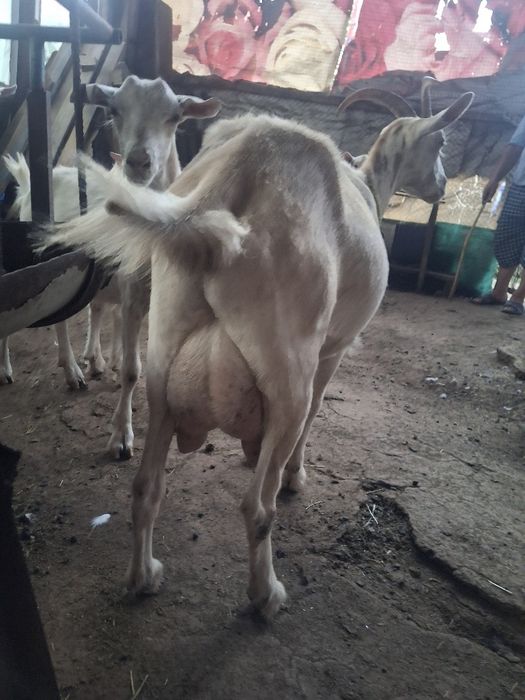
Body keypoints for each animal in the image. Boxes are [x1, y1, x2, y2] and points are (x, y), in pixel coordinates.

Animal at [2, 76, 220, 460]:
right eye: (115, 110)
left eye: (175, 116)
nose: (138, 162)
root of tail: (33, 181)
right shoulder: (131, 293)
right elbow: (133, 371)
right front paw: (121, 436)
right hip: (46, 264)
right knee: (52, 316)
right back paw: (42, 369)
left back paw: (87, 363)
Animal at [41, 87, 473, 617]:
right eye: (441, 143)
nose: (440, 186)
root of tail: (244, 168)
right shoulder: (334, 349)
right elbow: (317, 412)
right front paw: (294, 475)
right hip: (289, 371)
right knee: (258, 504)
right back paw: (266, 593)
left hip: (163, 357)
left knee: (146, 484)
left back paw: (144, 576)